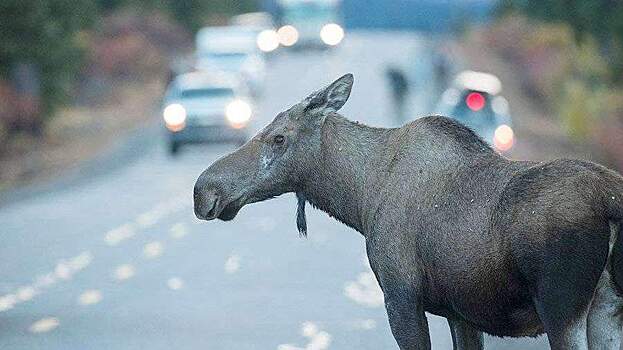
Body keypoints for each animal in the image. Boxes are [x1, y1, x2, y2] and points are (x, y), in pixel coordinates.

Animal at [195, 74, 623, 350]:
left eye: (279, 138)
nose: (204, 190)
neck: (360, 197)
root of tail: (611, 201)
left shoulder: (401, 295)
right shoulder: (460, 313)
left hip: (561, 305)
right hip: (606, 310)